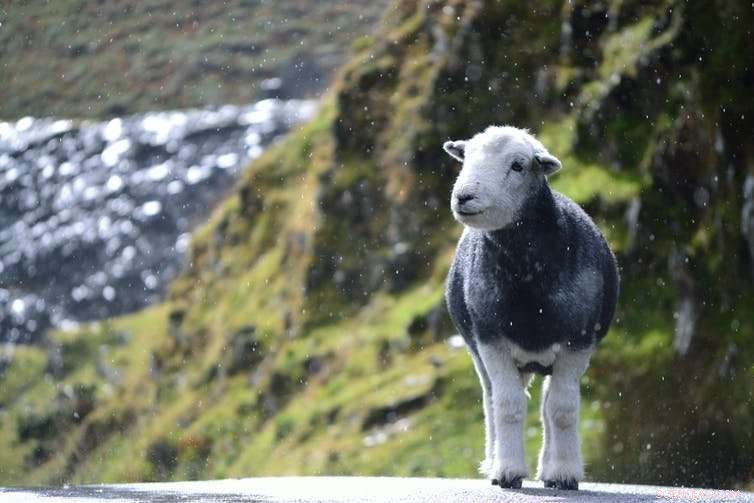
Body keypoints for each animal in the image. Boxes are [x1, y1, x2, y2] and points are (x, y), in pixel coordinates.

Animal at [443, 126, 619, 491]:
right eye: (465, 158)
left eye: (518, 165)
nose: (463, 197)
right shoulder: (490, 338)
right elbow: (507, 405)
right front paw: (508, 471)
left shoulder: (578, 339)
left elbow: (562, 409)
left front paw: (564, 474)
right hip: (481, 352)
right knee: (492, 399)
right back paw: (495, 462)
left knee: (548, 405)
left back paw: (549, 469)